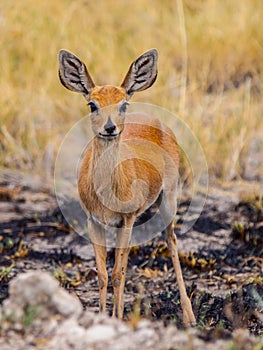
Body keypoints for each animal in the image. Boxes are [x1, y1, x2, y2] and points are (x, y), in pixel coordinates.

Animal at [58, 48, 197, 326]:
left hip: (168, 202)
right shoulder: (94, 221)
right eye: (92, 104)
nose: (110, 128)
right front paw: (104, 317)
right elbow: (103, 274)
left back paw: (189, 316)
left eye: (123, 103)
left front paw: (116, 318)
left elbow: (117, 273)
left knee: (172, 241)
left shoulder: (127, 219)